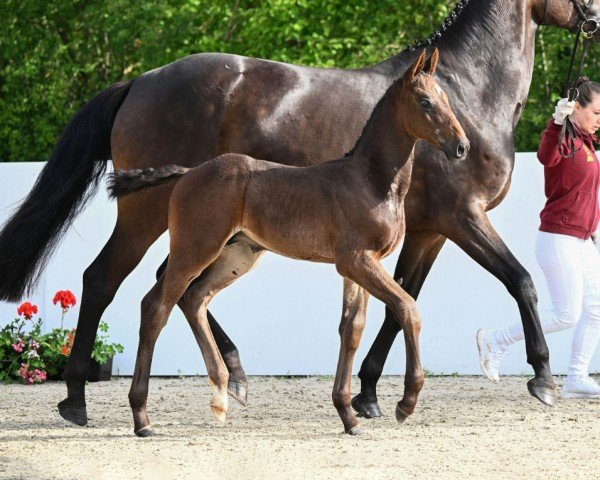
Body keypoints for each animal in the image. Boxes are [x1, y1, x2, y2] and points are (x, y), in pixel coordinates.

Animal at [111, 48, 468, 436]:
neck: (370, 181)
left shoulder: (359, 265)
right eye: (425, 101)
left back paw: (221, 397)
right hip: (195, 248)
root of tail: (188, 172)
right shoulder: (356, 260)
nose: (461, 147)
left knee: (194, 299)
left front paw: (348, 415)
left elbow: (351, 329)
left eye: (446, 98)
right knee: (156, 306)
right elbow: (407, 308)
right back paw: (143, 419)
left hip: (236, 256)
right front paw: (406, 402)